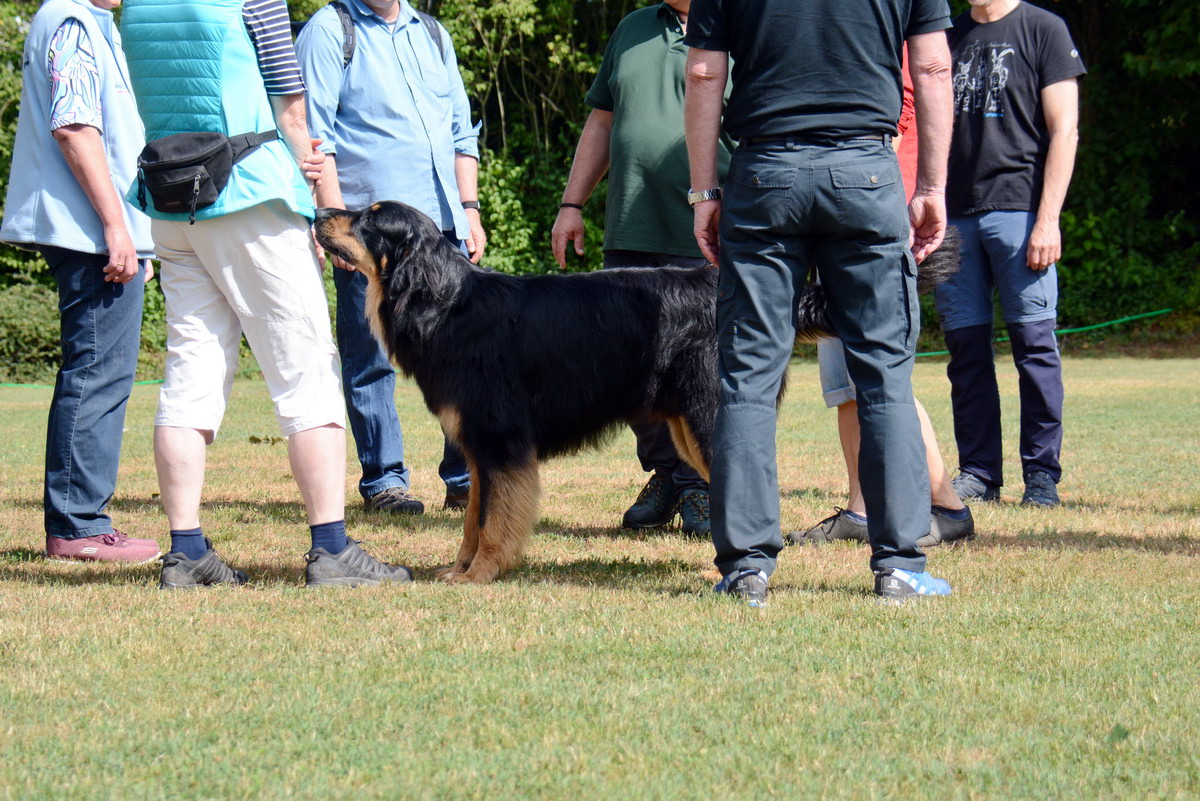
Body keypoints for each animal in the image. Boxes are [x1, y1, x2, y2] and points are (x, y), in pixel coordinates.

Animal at [314, 201, 950, 582]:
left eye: (369, 220)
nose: (321, 210)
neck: (447, 305)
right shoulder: (477, 446)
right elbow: (473, 516)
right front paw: (459, 569)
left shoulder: (501, 441)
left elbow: (496, 520)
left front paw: (482, 574)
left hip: (707, 415)